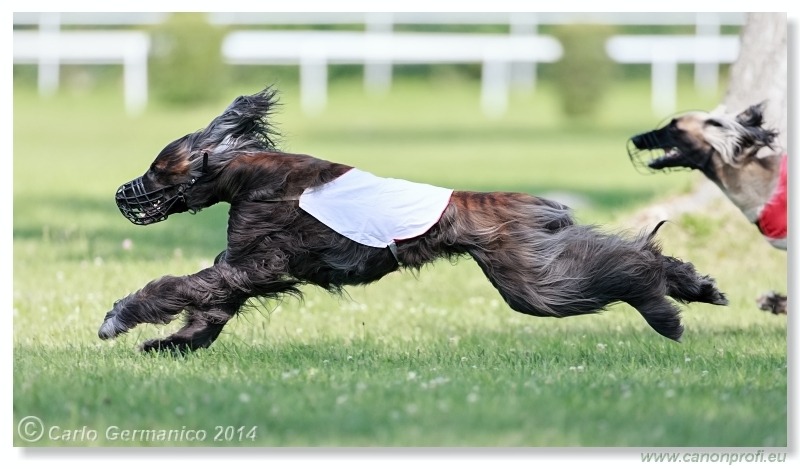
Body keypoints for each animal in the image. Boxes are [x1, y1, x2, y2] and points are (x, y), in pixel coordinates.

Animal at [97, 88, 728, 352]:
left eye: (156, 168)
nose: (122, 194)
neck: (250, 178)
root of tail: (534, 202)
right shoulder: (250, 266)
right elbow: (211, 306)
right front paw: (174, 344)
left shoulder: (256, 260)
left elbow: (181, 286)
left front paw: (118, 318)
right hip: (537, 265)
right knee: (631, 255)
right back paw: (694, 287)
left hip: (530, 280)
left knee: (628, 268)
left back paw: (665, 313)